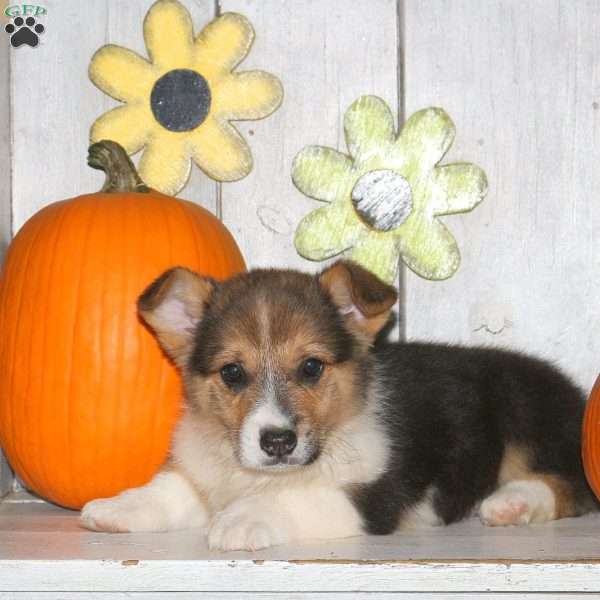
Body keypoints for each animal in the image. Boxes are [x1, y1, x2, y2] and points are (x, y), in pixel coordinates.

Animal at [79, 260, 596, 552]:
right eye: (232, 373)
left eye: (311, 367)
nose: (278, 442)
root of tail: (577, 396)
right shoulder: (203, 472)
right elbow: (172, 489)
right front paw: (117, 507)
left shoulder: (374, 496)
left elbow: (299, 497)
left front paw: (243, 518)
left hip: (524, 410)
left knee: (572, 485)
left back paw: (511, 502)